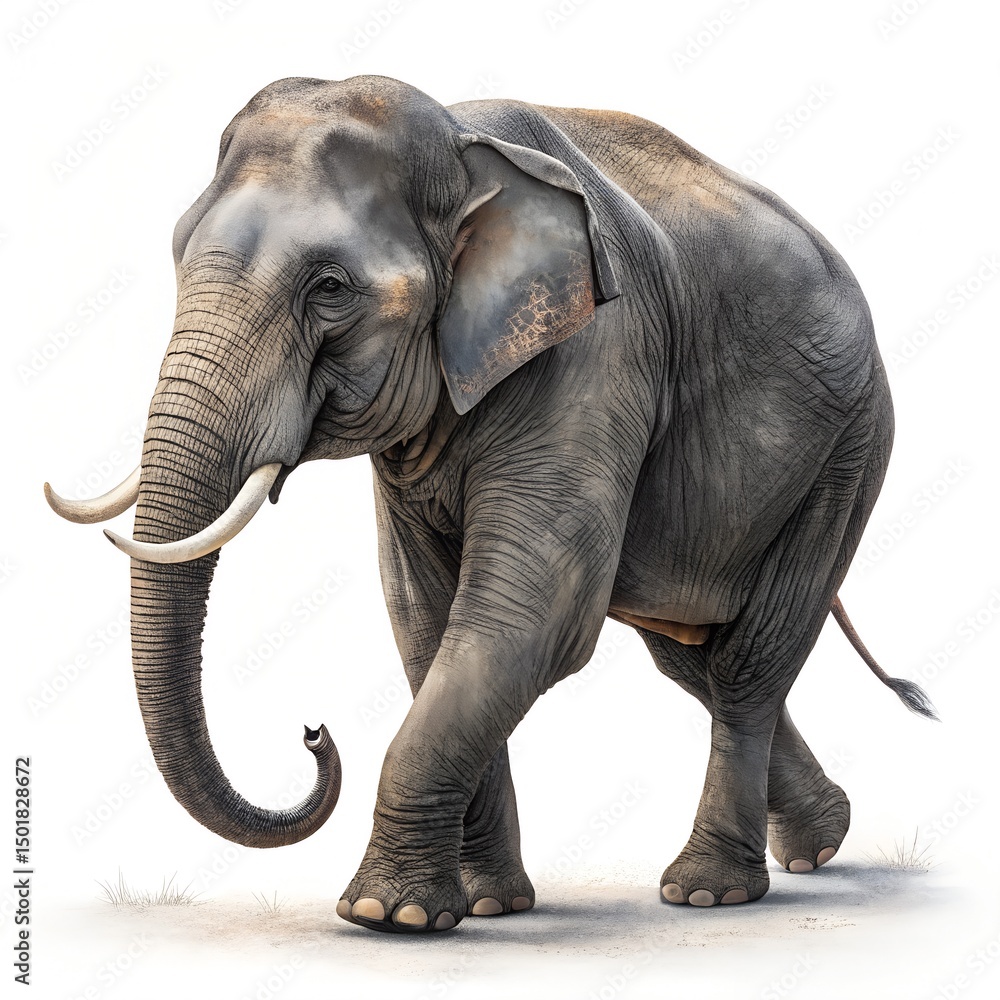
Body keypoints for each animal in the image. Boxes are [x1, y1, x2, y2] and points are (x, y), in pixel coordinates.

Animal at [46, 75, 936, 934]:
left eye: (330, 288)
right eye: (177, 254)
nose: (313, 733)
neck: (460, 144)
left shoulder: (596, 352)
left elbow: (528, 613)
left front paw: (386, 915)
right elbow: (426, 616)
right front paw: (479, 905)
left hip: (848, 448)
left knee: (751, 658)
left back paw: (709, 892)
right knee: (692, 655)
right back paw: (821, 841)